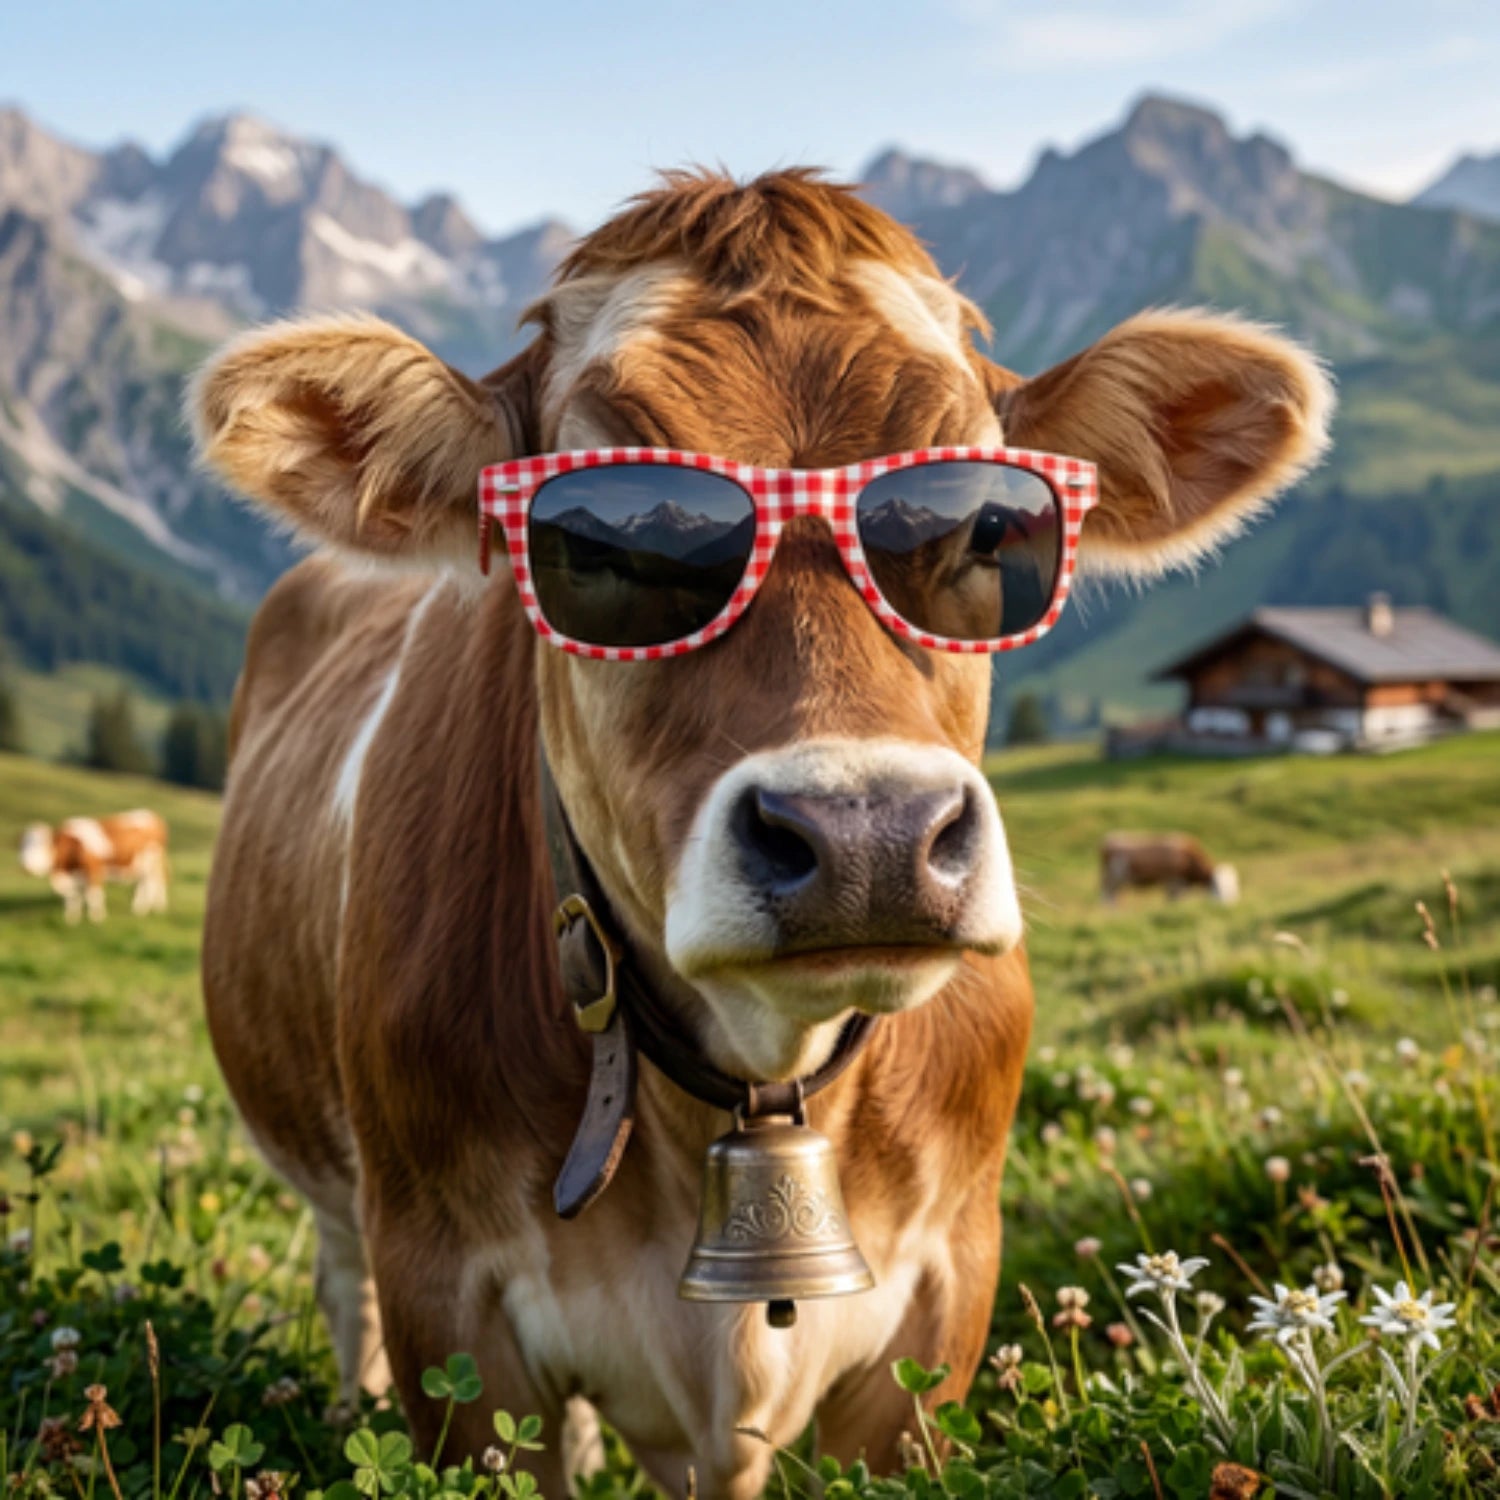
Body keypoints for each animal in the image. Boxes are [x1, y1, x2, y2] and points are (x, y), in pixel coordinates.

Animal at [19, 810, 169, 923]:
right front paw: (71, 919)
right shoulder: (74, 877)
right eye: (22, 846)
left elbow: (93, 896)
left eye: (43, 845)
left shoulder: (94, 870)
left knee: (152, 882)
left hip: (152, 861)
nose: (26, 867)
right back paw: (141, 908)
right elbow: (72, 898)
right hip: (141, 864)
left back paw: (145, 909)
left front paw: (96, 919)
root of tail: (151, 814)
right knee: (144, 883)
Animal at [1100, 832, 1240, 904]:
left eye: (1234, 885)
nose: (1228, 904)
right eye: (1216, 885)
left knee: (1114, 895)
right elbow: (1173, 900)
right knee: (1107, 894)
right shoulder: (1174, 881)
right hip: (1113, 878)